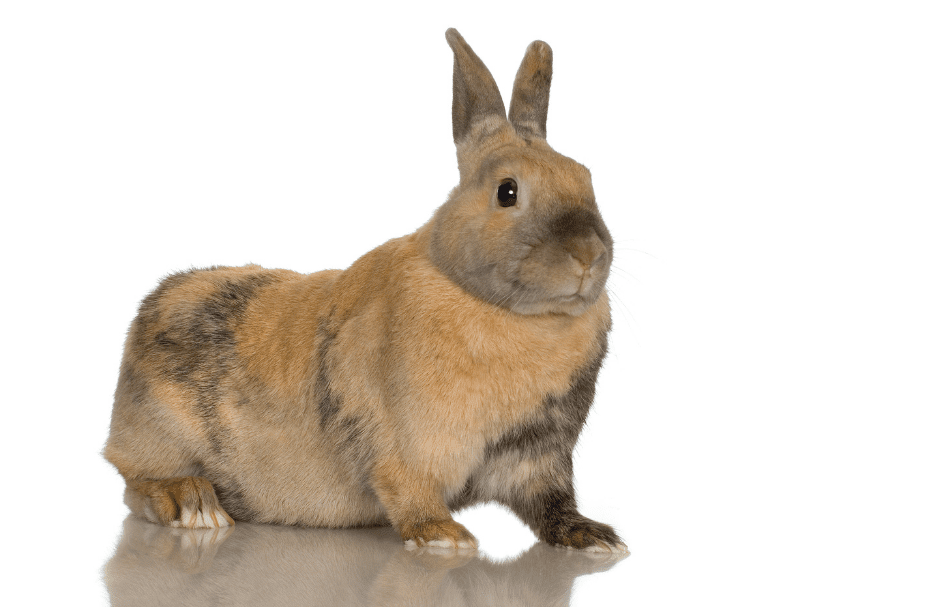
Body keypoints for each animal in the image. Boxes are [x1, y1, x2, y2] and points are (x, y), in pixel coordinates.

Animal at [104, 28, 627, 553]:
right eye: (508, 191)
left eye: (587, 178)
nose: (587, 255)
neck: (513, 315)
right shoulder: (402, 441)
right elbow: (407, 488)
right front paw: (443, 536)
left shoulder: (538, 454)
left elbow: (550, 501)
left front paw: (595, 537)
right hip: (157, 433)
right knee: (136, 483)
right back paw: (194, 504)